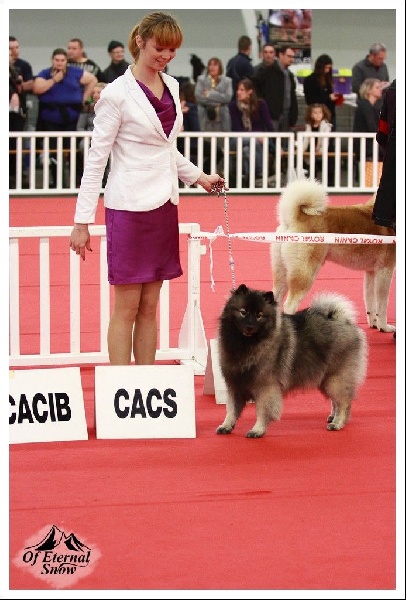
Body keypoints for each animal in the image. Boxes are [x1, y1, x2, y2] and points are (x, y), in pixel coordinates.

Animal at [216, 284, 368, 438]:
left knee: (344, 402)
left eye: (259, 316)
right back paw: (333, 417)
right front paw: (226, 426)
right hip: (326, 380)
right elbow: (231, 409)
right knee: (336, 401)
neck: (246, 345)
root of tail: (342, 320)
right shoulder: (235, 384)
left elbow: (263, 410)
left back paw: (337, 423)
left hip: (335, 379)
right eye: (243, 312)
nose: (250, 327)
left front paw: (257, 429)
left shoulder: (265, 387)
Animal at [271, 178, 396, 332]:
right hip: (305, 273)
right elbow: (382, 305)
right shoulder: (385, 271)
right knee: (289, 305)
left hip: (281, 272)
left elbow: (370, 302)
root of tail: (294, 219)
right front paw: (384, 327)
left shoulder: (371, 272)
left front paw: (373, 323)